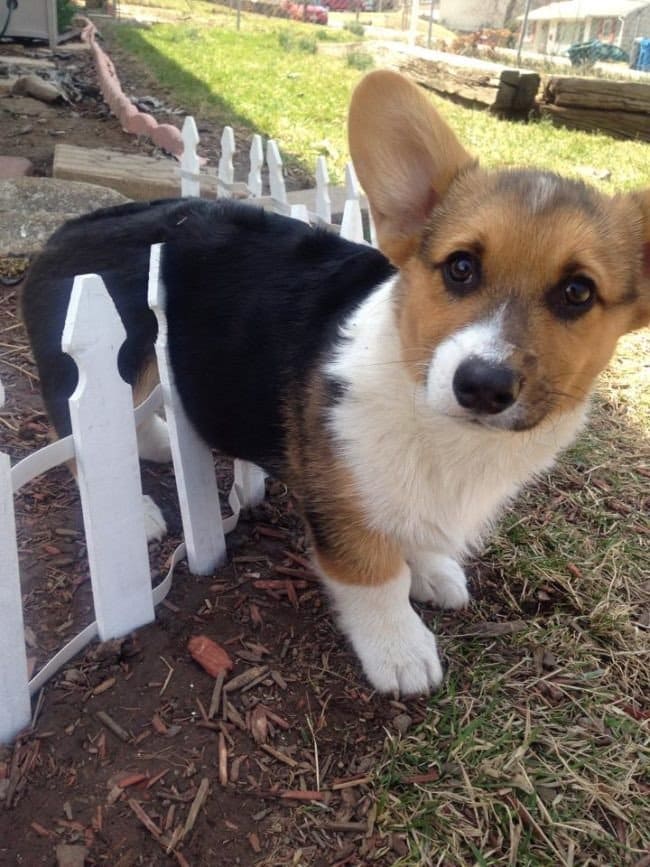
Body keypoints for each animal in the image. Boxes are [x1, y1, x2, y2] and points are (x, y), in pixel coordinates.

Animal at [20, 74, 648, 700]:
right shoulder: (340, 501)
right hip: (107, 370)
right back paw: (143, 512)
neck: (434, 417)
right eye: (461, 267)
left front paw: (432, 571)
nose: (483, 386)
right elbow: (376, 574)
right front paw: (400, 649)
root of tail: (69, 229)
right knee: (80, 441)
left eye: (578, 292)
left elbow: (413, 531)